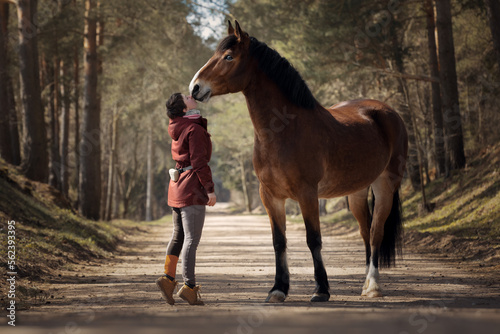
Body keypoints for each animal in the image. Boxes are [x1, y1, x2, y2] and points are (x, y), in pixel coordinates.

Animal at [189, 20, 408, 302]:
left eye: (228, 56)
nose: (195, 87)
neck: (284, 129)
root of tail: (389, 113)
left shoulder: (307, 193)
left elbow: (313, 239)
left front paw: (321, 290)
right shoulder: (270, 196)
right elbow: (278, 241)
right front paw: (278, 289)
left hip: (385, 185)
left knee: (376, 232)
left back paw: (373, 287)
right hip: (357, 191)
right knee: (365, 231)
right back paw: (365, 284)